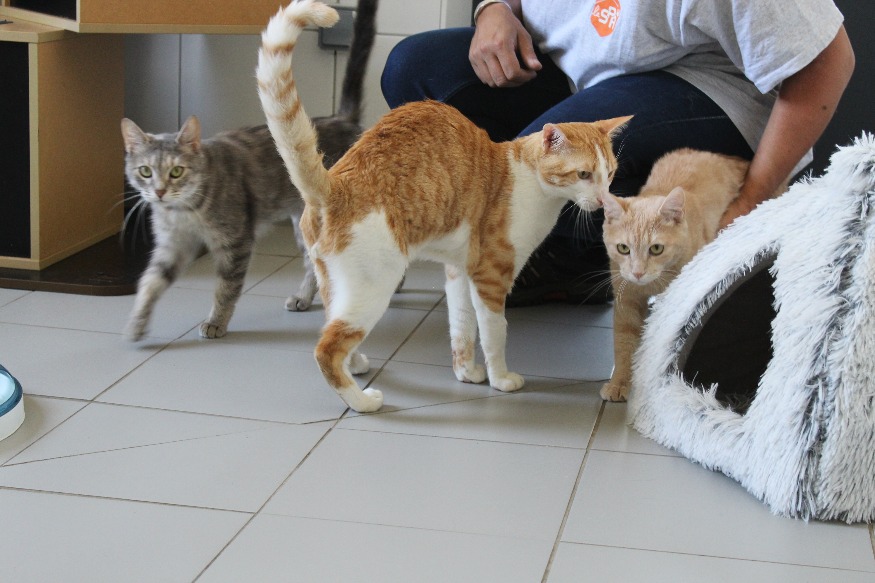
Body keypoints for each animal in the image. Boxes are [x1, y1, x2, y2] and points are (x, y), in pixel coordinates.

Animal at [122, 0, 378, 342]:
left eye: (176, 171)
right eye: (145, 171)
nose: (160, 192)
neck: (183, 211)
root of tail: (342, 119)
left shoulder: (237, 242)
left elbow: (226, 288)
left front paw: (216, 321)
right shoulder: (171, 245)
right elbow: (149, 282)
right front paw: (137, 322)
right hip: (304, 226)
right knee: (314, 265)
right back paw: (305, 297)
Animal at [256, 0, 631, 412]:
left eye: (610, 173)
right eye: (583, 174)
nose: (603, 199)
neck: (529, 182)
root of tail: (336, 183)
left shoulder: (458, 272)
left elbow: (461, 327)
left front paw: (466, 372)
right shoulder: (491, 275)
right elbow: (495, 332)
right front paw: (501, 379)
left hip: (336, 284)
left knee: (334, 326)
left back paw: (356, 366)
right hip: (375, 283)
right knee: (326, 348)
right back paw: (362, 400)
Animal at [599, 148, 751, 402]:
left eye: (656, 249)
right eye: (623, 248)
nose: (638, 272)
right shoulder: (626, 298)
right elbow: (624, 341)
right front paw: (620, 381)